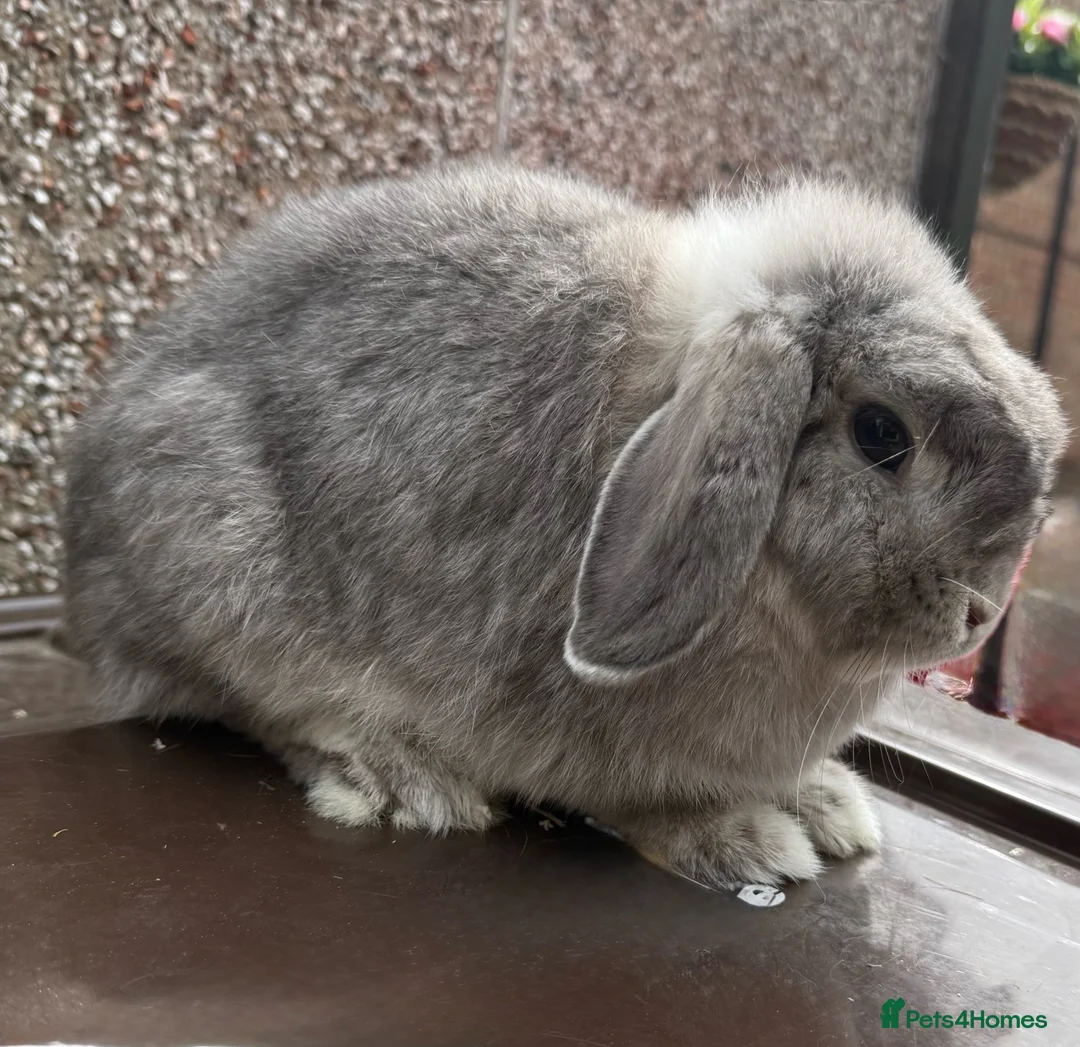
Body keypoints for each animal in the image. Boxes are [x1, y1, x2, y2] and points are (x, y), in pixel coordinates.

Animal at [63, 159, 1067, 887]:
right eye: (881, 435)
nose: (979, 614)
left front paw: (827, 807)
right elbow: (641, 804)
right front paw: (751, 841)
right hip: (218, 558)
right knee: (266, 707)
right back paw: (407, 780)